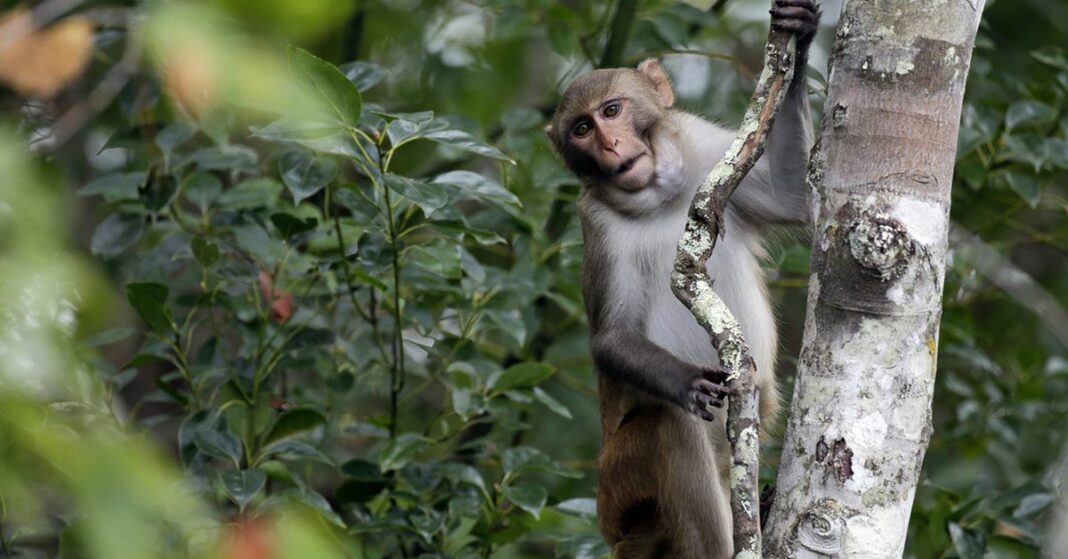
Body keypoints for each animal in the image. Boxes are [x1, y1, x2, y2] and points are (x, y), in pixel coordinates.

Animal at [546, 2, 820, 555]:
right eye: (582, 129)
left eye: (612, 111)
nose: (610, 145)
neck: (660, 196)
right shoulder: (597, 225)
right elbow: (612, 337)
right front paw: (688, 382)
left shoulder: (707, 148)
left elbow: (793, 197)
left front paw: (800, 39)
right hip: (620, 483)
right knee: (670, 429)